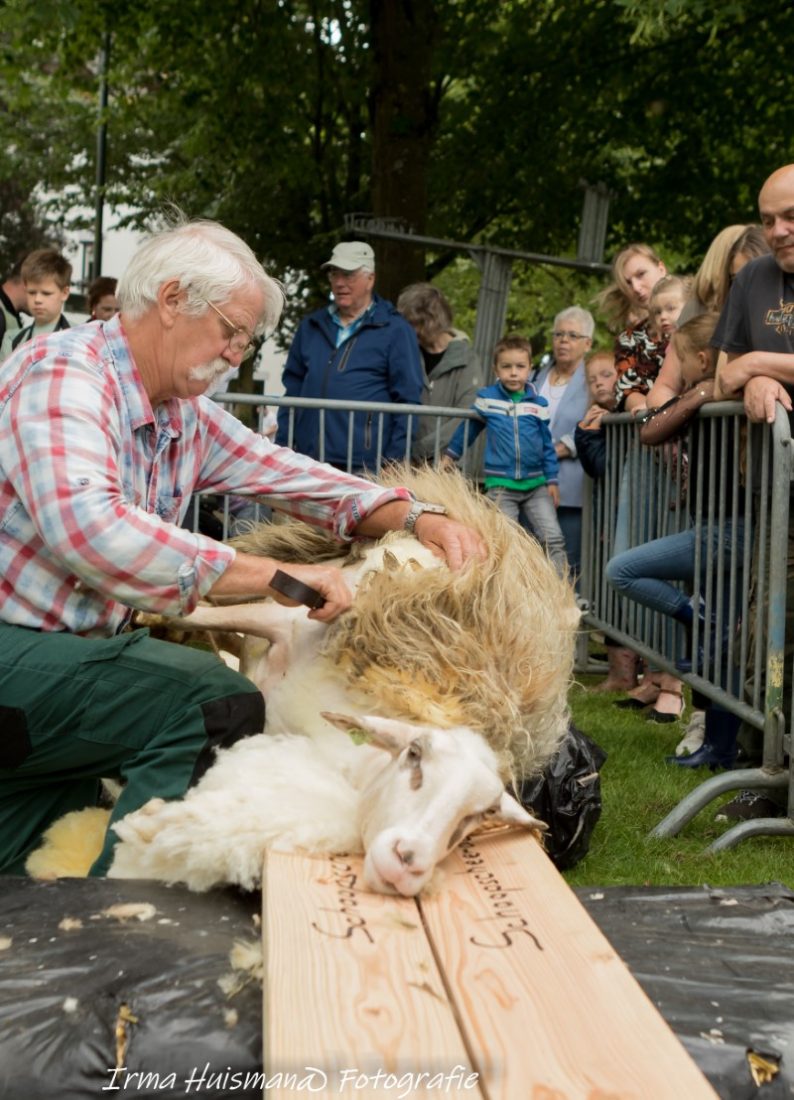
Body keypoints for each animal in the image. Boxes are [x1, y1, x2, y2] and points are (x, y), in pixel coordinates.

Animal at [103, 464, 576, 893]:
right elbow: (203, 611)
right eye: (414, 756)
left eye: (478, 816)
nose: (408, 863)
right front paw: (153, 619)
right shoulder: (284, 620)